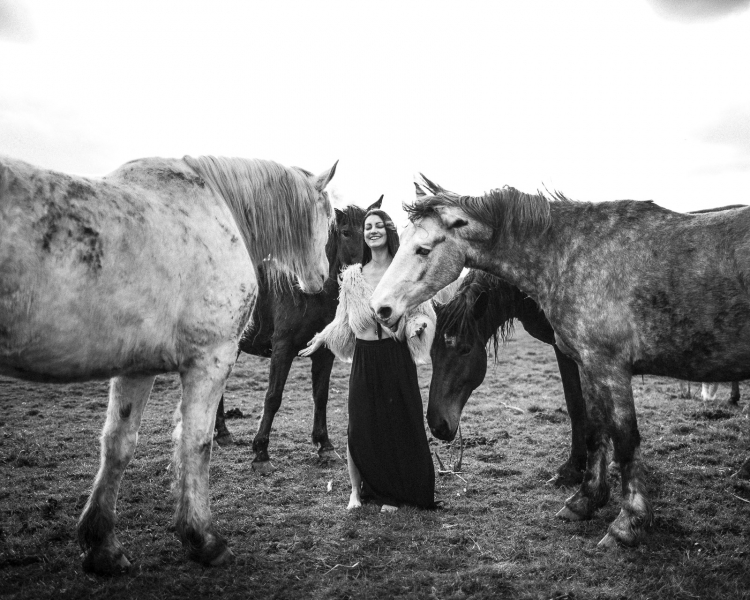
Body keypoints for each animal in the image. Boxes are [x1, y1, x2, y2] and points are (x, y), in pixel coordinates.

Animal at [0, 154, 334, 572]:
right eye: (330, 219)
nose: (322, 278)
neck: (216, 209)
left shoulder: (136, 368)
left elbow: (118, 444)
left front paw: (101, 545)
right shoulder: (211, 357)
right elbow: (196, 443)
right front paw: (203, 539)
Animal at [216, 196, 382, 468]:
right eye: (346, 233)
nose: (360, 268)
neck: (309, 292)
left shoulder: (324, 352)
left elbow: (321, 396)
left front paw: (324, 445)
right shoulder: (282, 349)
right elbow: (273, 397)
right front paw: (261, 452)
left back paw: (221, 433)